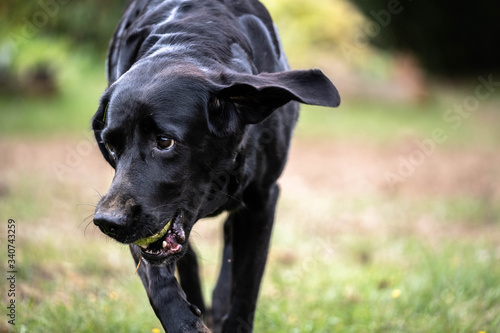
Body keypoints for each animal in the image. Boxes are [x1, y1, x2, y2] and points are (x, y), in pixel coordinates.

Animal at [91, 1, 338, 330]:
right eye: (111, 145)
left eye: (165, 142)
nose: (108, 222)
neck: (187, 41)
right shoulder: (136, 211)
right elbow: (158, 281)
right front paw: (185, 320)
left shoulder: (262, 201)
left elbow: (245, 290)